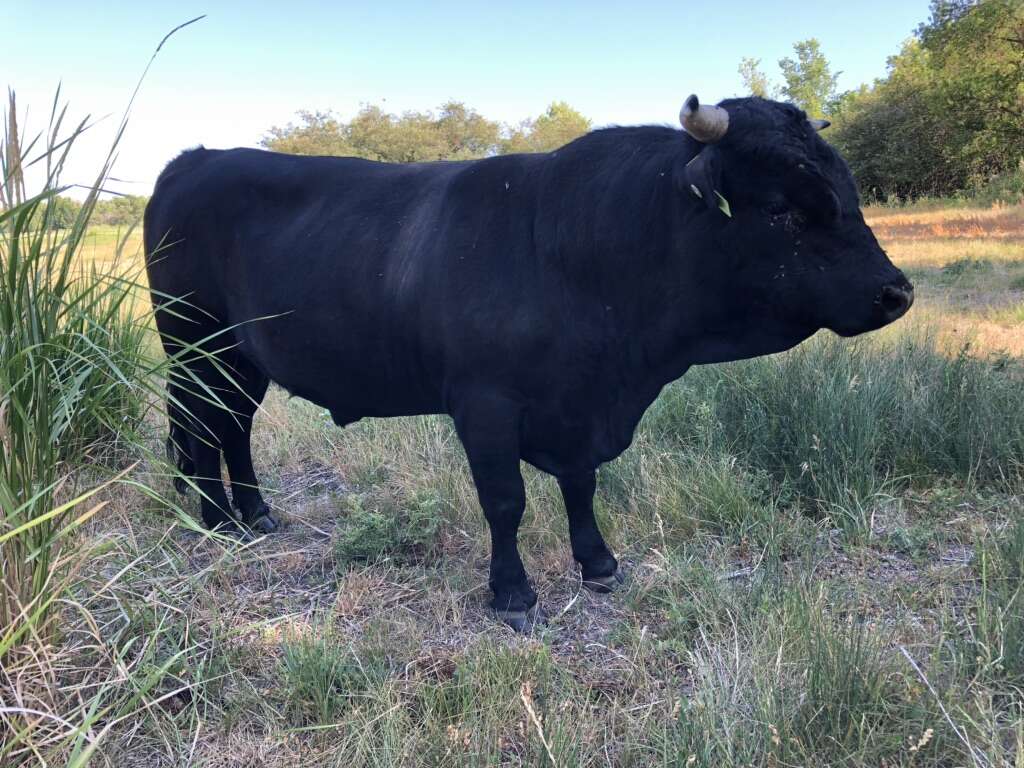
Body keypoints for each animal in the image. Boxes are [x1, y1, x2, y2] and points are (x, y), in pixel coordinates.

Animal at [145, 95, 913, 630]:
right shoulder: (484, 402)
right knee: (203, 425)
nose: (896, 291)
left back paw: (255, 512)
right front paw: (513, 593)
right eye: (784, 209)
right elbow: (506, 499)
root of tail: (195, 157)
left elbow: (581, 485)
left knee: (233, 427)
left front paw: (598, 564)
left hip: (242, 358)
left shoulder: (577, 408)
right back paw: (216, 520)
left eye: (847, 191)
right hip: (195, 344)